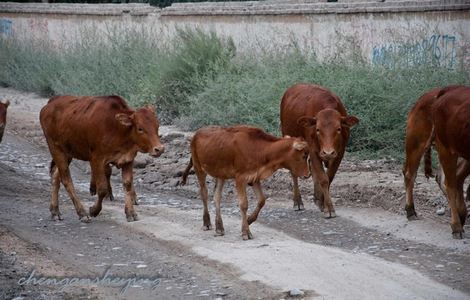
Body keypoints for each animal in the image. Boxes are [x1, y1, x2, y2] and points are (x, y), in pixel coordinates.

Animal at [182, 125, 310, 240]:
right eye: (304, 155)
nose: (307, 174)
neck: (260, 150)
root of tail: (198, 133)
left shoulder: (255, 177)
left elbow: (262, 200)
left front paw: (249, 220)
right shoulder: (240, 178)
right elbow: (243, 204)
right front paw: (245, 232)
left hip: (221, 175)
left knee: (217, 197)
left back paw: (219, 227)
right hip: (199, 168)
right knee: (204, 194)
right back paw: (207, 223)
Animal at [280, 84, 360, 218]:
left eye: (338, 129)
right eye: (317, 129)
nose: (327, 152)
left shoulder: (339, 153)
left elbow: (329, 177)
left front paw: (322, 202)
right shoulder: (314, 151)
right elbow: (323, 179)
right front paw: (329, 209)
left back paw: (317, 198)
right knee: (294, 172)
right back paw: (297, 202)